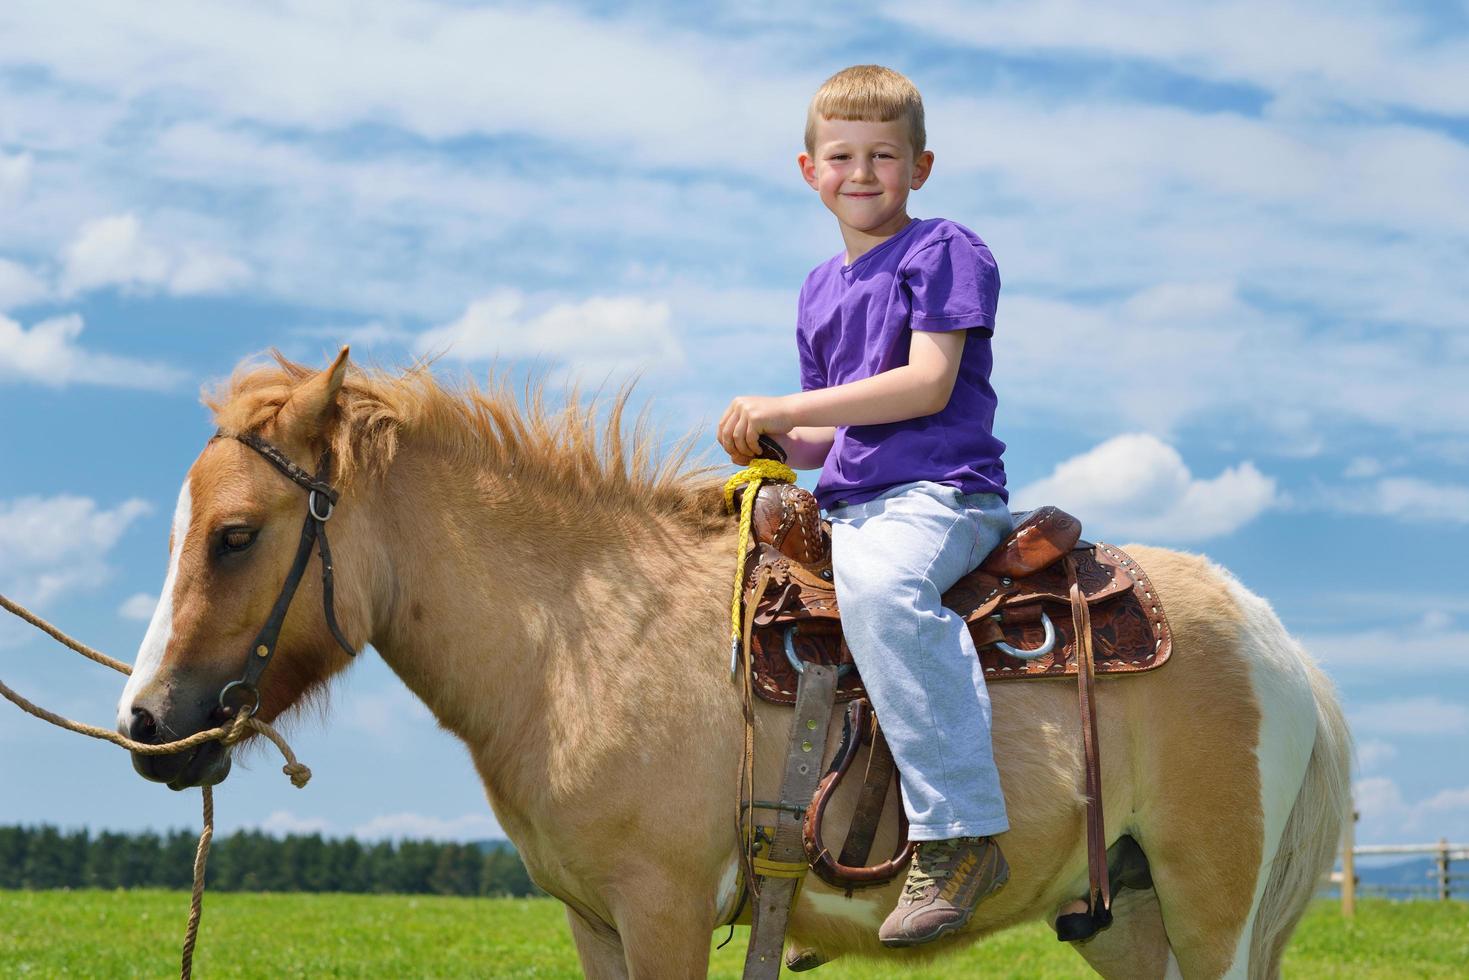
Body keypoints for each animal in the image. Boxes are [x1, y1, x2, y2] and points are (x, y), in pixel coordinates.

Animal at [114, 348, 1351, 975]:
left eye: (235, 534)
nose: (145, 723)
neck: (577, 634)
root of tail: (1273, 640)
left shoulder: (661, 908)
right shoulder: (596, 920)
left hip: (1206, 909)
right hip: (1127, 919)